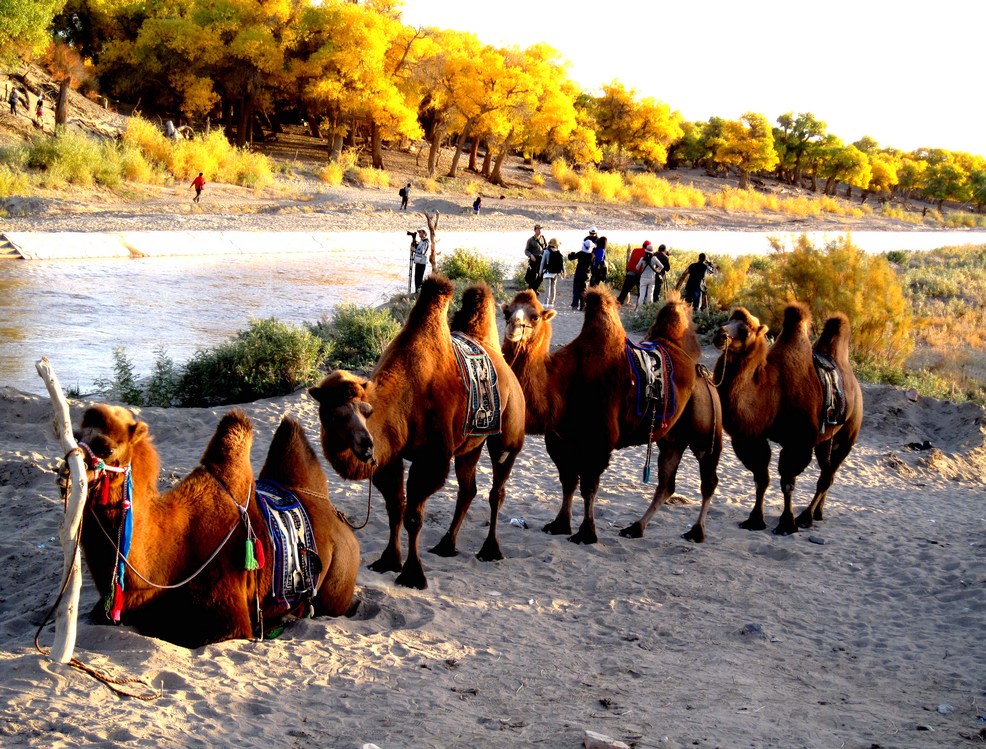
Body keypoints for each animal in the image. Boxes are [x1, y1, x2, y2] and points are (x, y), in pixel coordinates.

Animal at [72, 404, 358, 644]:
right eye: (75, 435)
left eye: (107, 448)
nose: (69, 468)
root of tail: (340, 519)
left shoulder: (228, 617)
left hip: (338, 578)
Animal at [310, 274, 528, 592]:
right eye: (333, 414)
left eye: (366, 411)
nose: (365, 445)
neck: (405, 398)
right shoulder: (390, 457)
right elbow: (394, 509)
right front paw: (388, 561)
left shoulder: (431, 459)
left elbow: (413, 516)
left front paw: (413, 575)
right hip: (470, 444)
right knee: (468, 488)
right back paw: (446, 545)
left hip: (508, 434)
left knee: (496, 490)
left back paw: (490, 550)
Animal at [500, 288, 724, 544]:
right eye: (507, 312)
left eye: (535, 316)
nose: (513, 326)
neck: (562, 383)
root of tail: (702, 370)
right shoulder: (559, 439)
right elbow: (568, 482)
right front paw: (559, 524)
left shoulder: (599, 441)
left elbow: (589, 487)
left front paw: (586, 533)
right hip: (672, 438)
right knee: (666, 483)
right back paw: (635, 528)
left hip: (705, 428)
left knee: (708, 479)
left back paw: (696, 532)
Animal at [708, 300, 860, 536]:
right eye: (726, 321)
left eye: (746, 330)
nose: (720, 334)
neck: (772, 391)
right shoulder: (751, 438)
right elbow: (761, 479)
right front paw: (754, 520)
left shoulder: (798, 441)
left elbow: (787, 482)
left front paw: (787, 524)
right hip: (825, 440)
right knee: (828, 472)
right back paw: (818, 513)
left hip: (848, 434)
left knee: (827, 476)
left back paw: (806, 517)